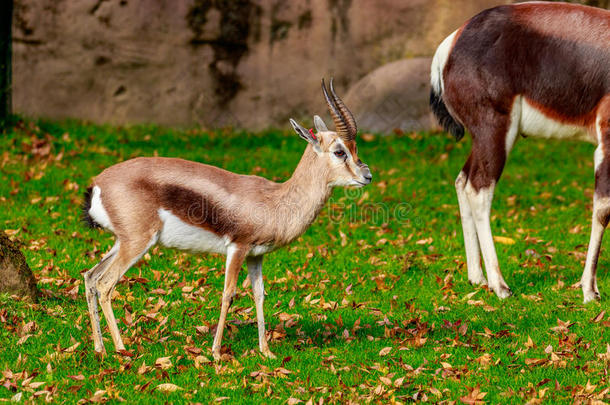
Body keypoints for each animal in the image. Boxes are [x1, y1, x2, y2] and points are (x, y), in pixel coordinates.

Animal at [81, 79, 370, 356]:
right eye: (340, 151)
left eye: (355, 148)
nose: (366, 176)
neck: (275, 201)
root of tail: (97, 183)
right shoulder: (238, 247)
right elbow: (228, 294)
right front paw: (217, 353)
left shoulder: (256, 255)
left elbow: (259, 295)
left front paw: (266, 352)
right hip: (137, 243)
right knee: (106, 284)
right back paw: (122, 350)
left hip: (122, 242)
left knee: (90, 277)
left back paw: (100, 349)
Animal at [430, 2, 604, 300]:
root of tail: (452, 42)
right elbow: (603, 208)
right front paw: (589, 292)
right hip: (495, 133)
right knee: (478, 189)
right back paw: (500, 286)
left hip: (488, 139)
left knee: (462, 180)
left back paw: (477, 278)